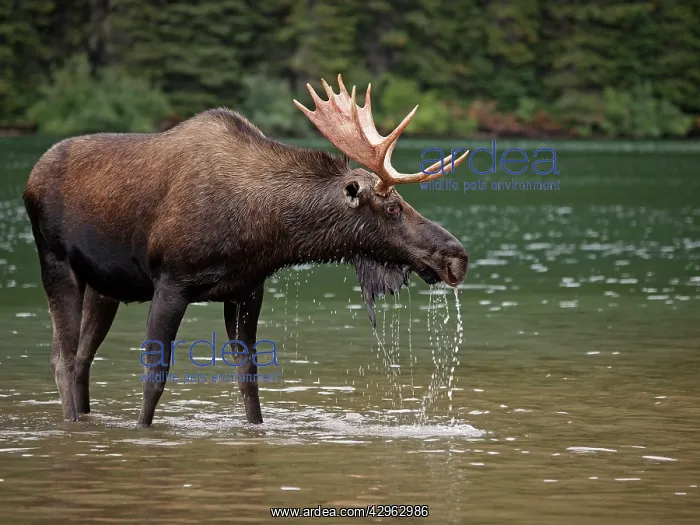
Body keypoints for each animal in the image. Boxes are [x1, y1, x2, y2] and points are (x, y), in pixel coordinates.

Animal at [22, 75, 469, 426]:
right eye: (393, 208)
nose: (457, 256)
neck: (265, 231)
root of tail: (30, 178)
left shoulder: (246, 290)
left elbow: (249, 380)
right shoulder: (171, 281)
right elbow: (155, 376)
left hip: (104, 287)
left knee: (83, 358)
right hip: (56, 263)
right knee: (62, 358)